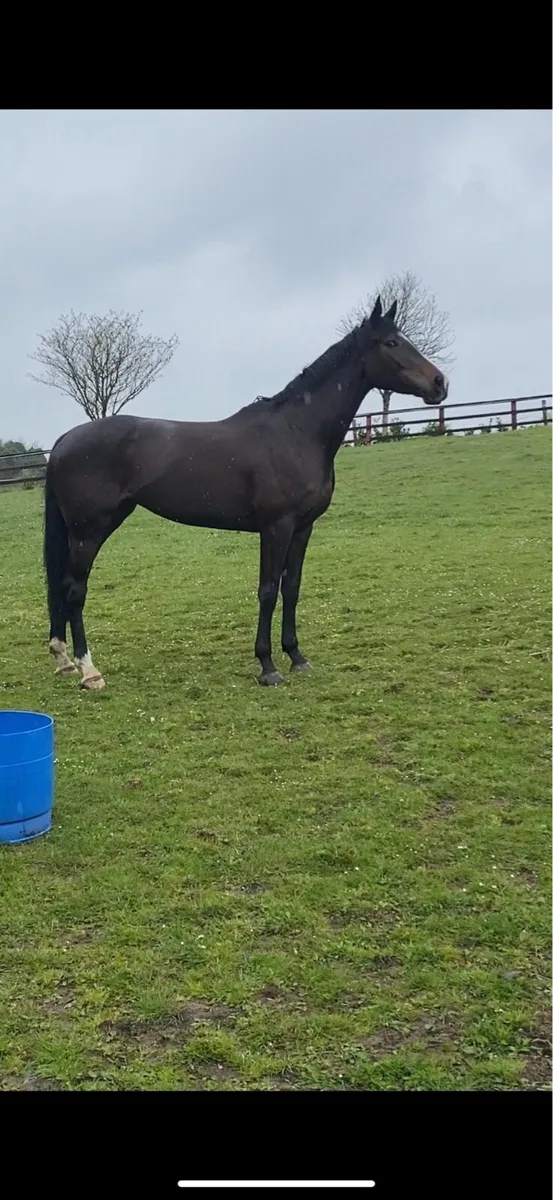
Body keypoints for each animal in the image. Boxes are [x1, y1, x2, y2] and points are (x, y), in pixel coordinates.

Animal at [43, 296, 448, 690]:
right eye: (392, 342)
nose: (440, 383)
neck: (296, 432)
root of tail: (64, 440)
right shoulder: (276, 527)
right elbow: (268, 590)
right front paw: (268, 666)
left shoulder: (303, 528)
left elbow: (292, 588)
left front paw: (296, 657)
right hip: (90, 530)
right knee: (74, 589)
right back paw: (89, 671)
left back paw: (64, 661)